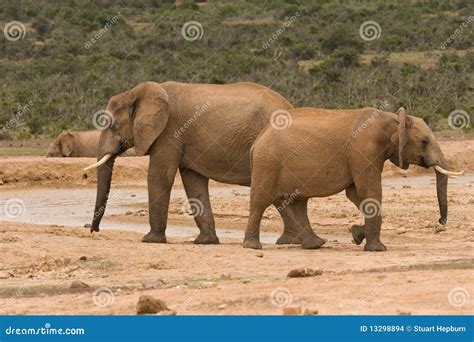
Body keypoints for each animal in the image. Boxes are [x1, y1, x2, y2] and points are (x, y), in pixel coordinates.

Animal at [83, 81, 302, 244]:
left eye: (111, 125)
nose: (94, 231)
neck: (135, 92)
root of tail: (289, 107)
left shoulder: (169, 132)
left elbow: (160, 176)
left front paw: (150, 240)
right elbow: (193, 183)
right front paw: (205, 242)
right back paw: (290, 241)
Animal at [244, 107, 462, 251]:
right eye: (424, 141)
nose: (440, 223)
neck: (391, 118)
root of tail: (257, 141)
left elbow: (356, 194)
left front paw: (357, 235)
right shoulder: (364, 149)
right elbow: (369, 190)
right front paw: (377, 249)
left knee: (297, 203)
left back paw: (316, 244)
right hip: (268, 163)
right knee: (261, 201)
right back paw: (253, 246)